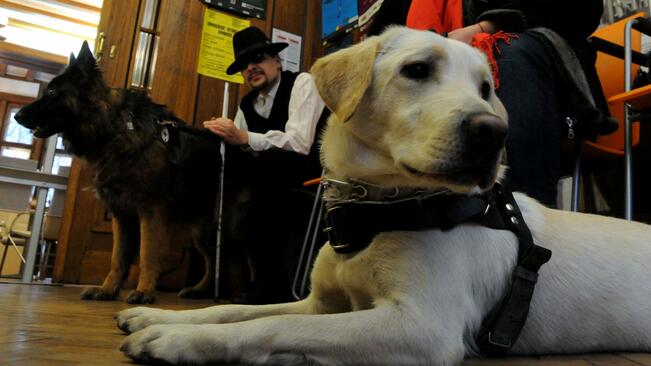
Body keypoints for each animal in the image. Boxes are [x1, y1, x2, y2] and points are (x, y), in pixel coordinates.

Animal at [15, 40, 224, 304]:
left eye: (52, 92)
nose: (16, 116)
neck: (115, 128)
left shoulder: (149, 210)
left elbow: (147, 254)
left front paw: (144, 291)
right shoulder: (121, 212)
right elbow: (118, 257)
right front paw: (107, 289)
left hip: (207, 229)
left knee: (216, 259)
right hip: (198, 230)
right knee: (211, 260)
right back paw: (199, 291)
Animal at [114, 27, 651, 364]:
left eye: (484, 87)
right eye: (416, 69)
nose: (493, 133)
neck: (377, 207)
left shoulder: (421, 326)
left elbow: (268, 327)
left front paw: (176, 338)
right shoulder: (320, 304)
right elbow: (238, 311)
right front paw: (156, 315)